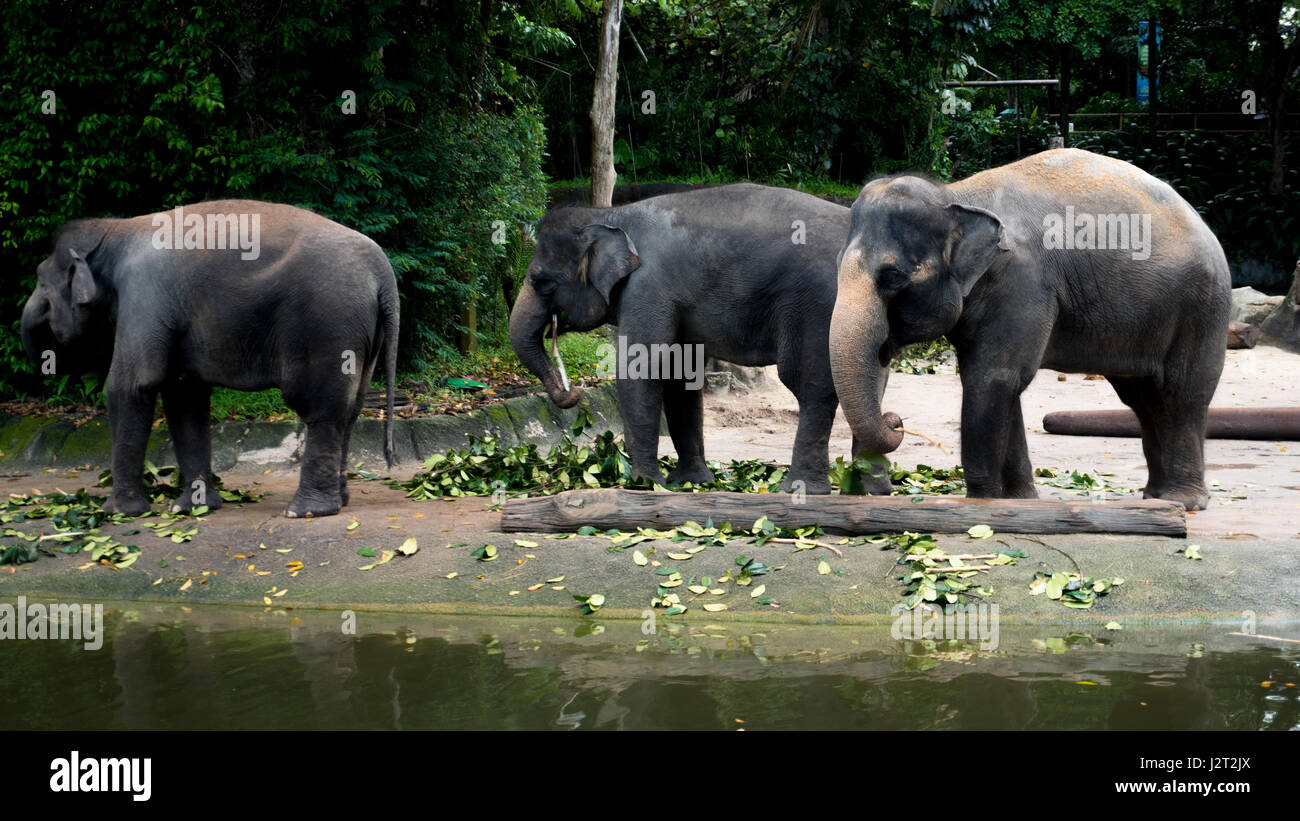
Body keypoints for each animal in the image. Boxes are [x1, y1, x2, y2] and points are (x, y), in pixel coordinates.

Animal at [19, 200, 395, 517]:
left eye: (40, 280)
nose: (51, 357)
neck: (115, 230)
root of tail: (383, 272)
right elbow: (184, 396)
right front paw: (191, 507)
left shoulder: (143, 295)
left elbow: (131, 385)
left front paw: (119, 513)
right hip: (361, 332)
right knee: (351, 408)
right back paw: (340, 499)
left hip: (328, 321)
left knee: (322, 409)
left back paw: (305, 511)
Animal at [506, 184, 894, 493]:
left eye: (541, 281)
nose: (571, 393)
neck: (611, 214)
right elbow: (680, 378)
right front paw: (691, 482)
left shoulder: (647, 288)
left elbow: (641, 369)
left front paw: (644, 485)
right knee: (867, 383)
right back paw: (870, 490)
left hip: (818, 308)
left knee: (811, 385)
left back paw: (803, 490)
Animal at [832, 146, 1227, 506]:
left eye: (892, 277)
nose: (894, 420)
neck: (958, 196)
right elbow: (1001, 383)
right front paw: (1020, 500)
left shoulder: (1022, 282)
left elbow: (993, 377)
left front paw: (982, 502)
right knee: (1144, 399)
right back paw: (1154, 497)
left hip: (1201, 309)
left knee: (1182, 393)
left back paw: (1183, 501)